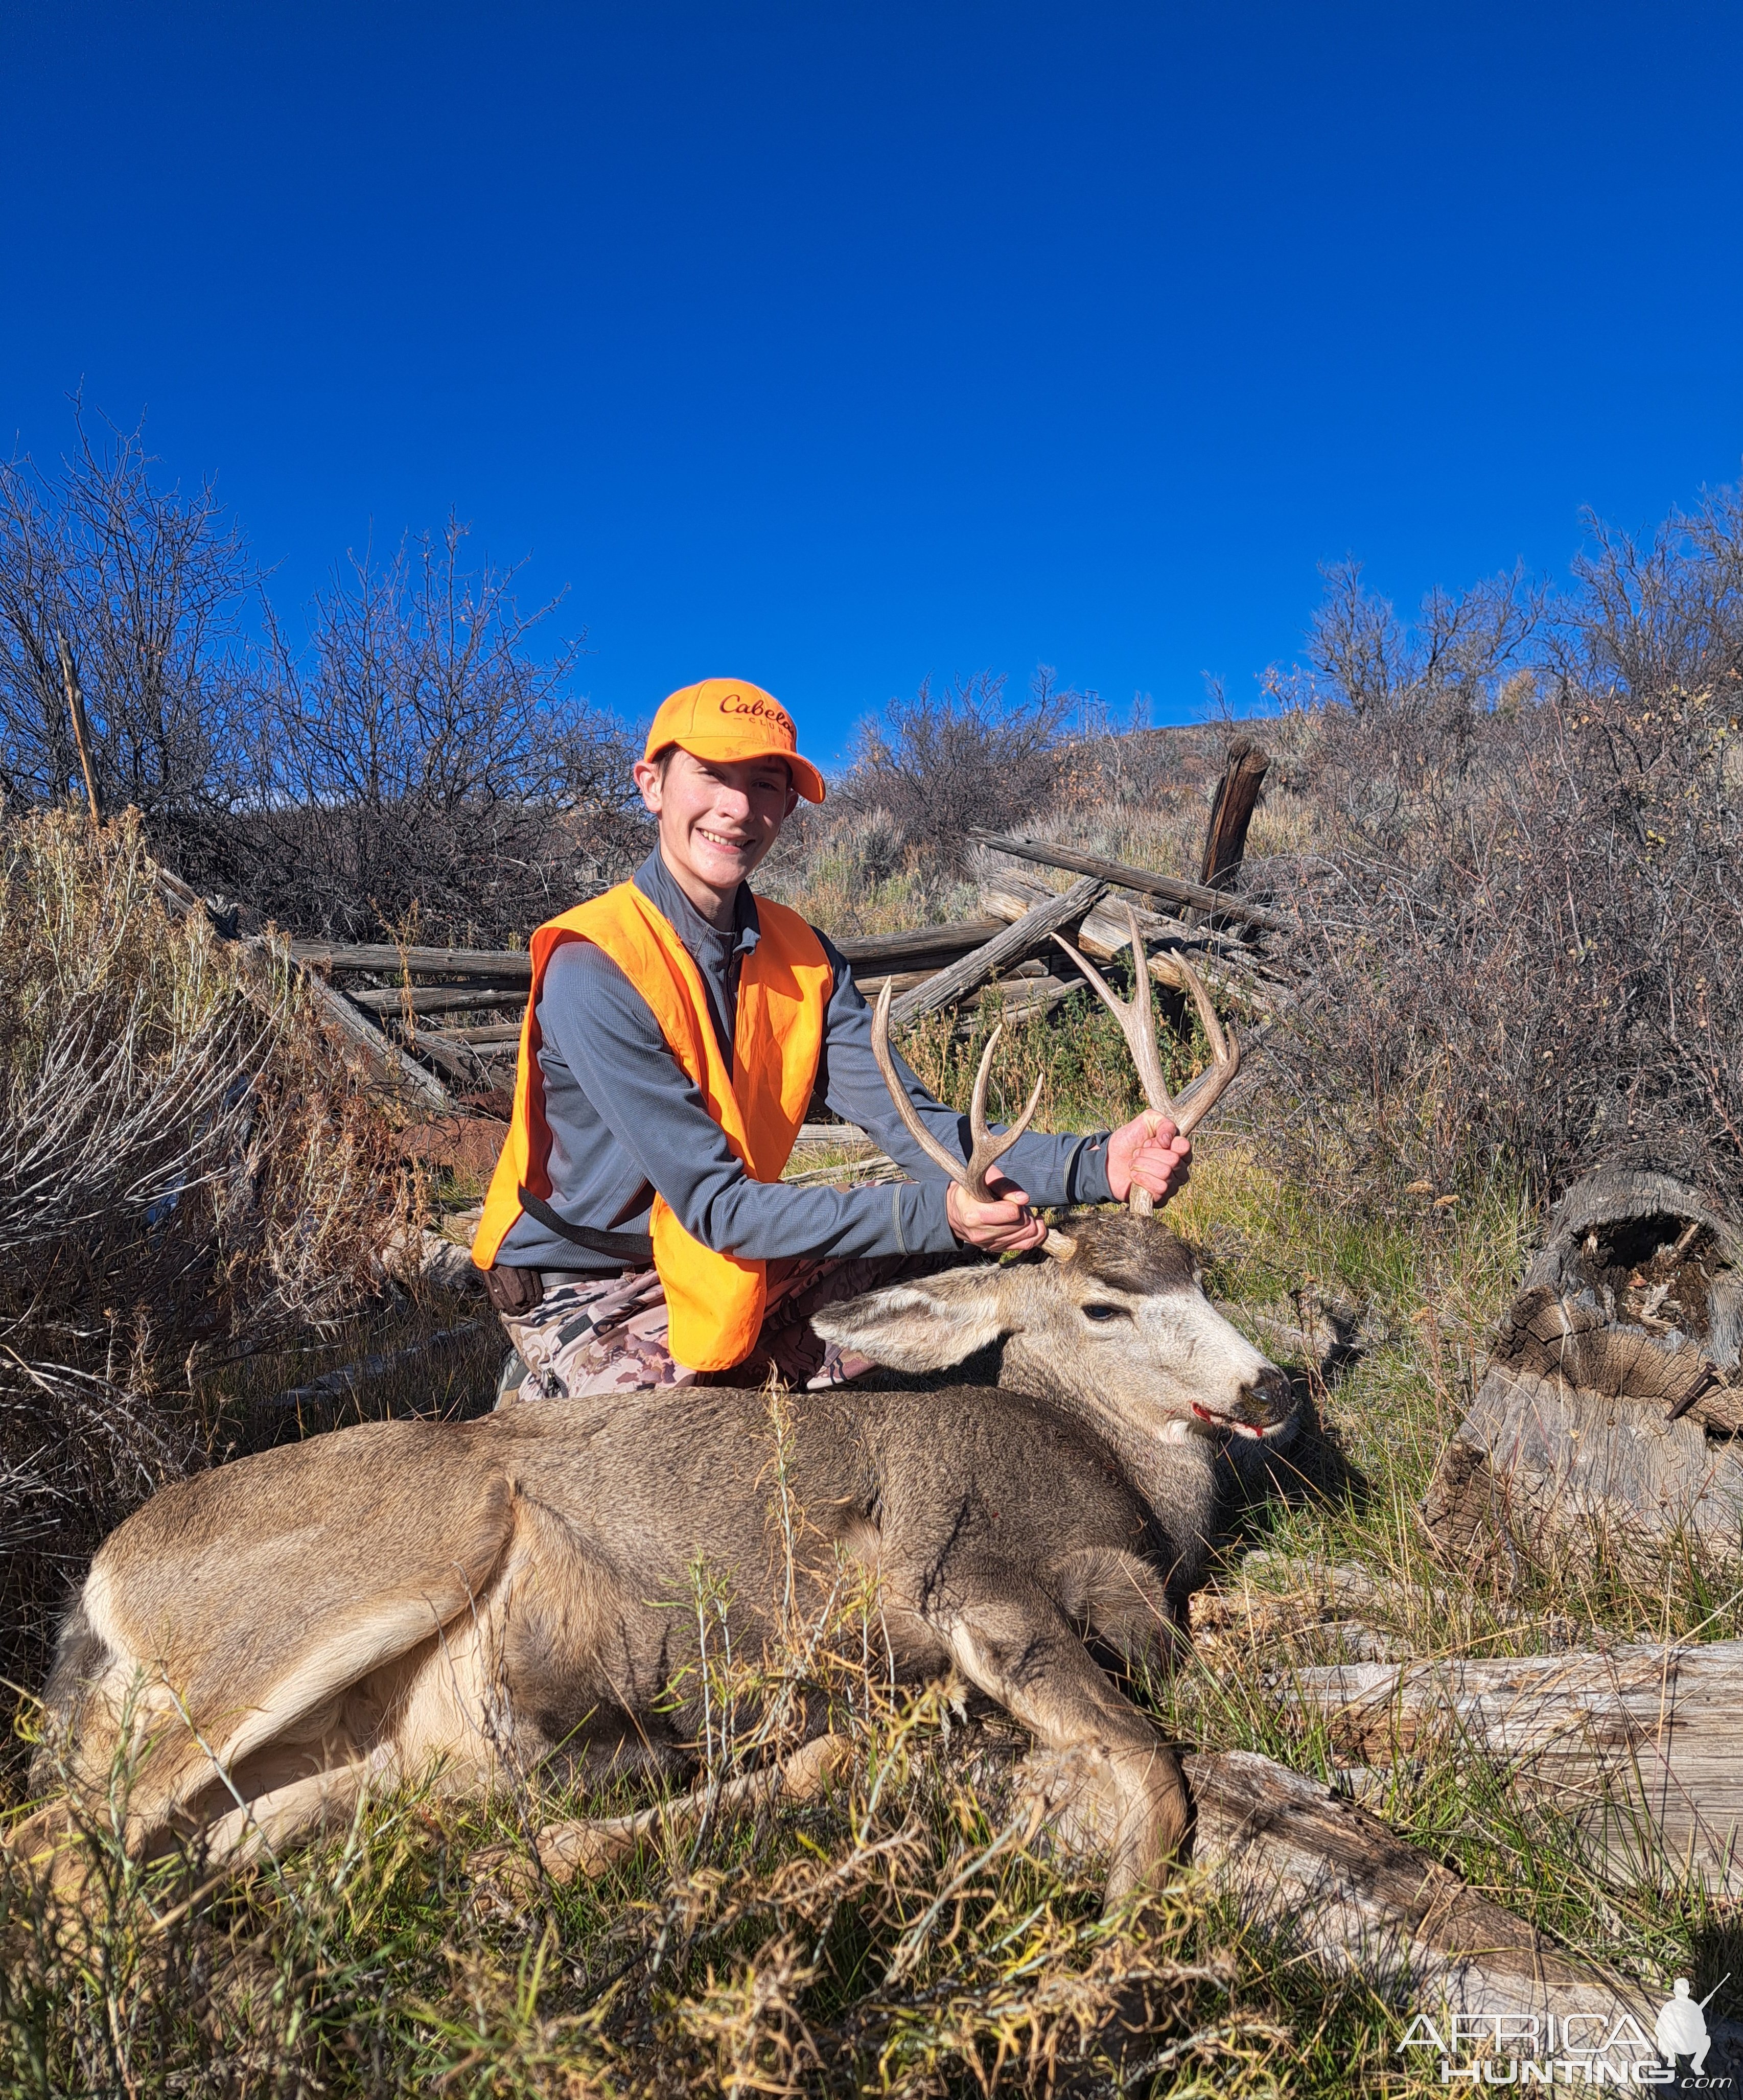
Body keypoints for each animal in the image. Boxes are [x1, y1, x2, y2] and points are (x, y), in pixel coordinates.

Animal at [17, 941, 1293, 1906]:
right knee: (61, 1844)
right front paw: (1118, 1909)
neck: (1111, 1475)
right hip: (359, 1580)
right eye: (1102, 1304)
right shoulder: (971, 1575)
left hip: (353, 1746)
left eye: (1199, 1269)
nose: (1271, 1390)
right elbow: (1150, 1761)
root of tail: (99, 1585)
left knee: (202, 1833)